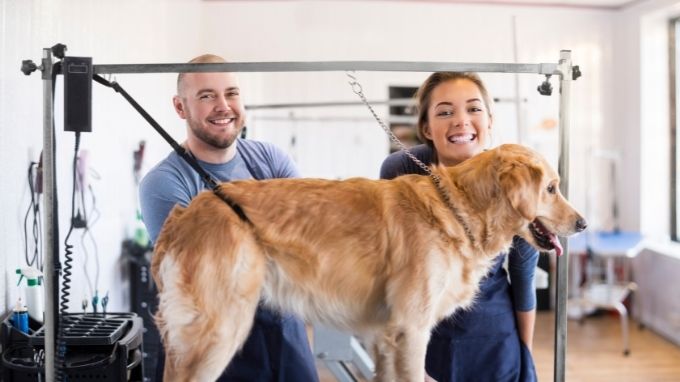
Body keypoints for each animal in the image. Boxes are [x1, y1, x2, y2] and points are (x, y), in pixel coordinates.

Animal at [151, 144, 588, 382]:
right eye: (552, 188)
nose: (583, 223)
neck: (458, 208)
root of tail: (185, 213)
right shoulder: (411, 331)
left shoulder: (385, 337)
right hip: (218, 333)